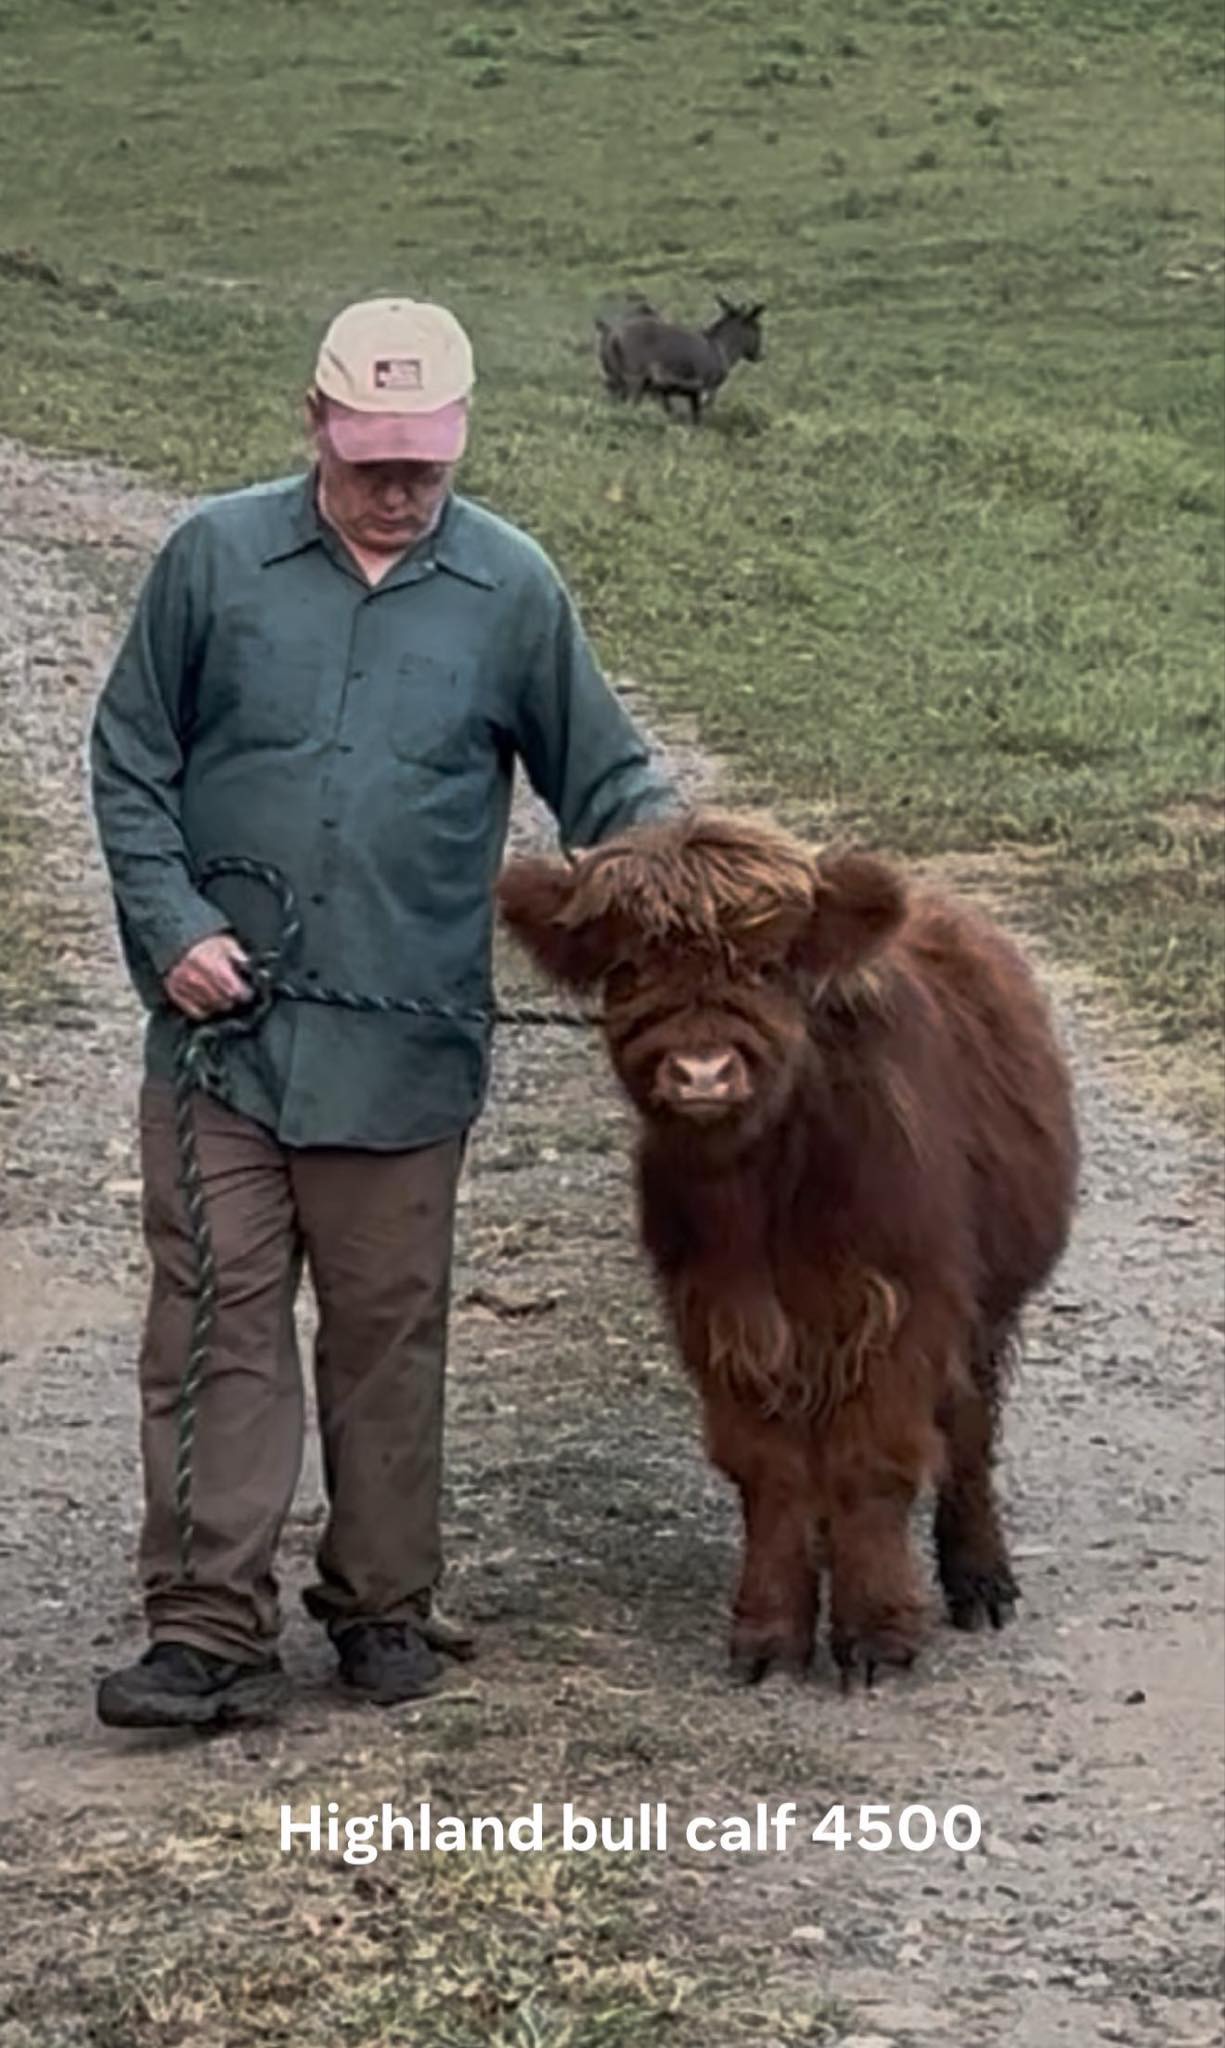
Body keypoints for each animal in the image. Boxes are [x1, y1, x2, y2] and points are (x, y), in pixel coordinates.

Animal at [497, 811, 1078, 1689]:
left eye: (768, 967)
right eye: (628, 965)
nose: (702, 1072)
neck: (766, 1193)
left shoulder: (902, 1304)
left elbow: (873, 1459)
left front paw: (876, 1633)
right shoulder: (721, 1315)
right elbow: (768, 1471)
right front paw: (771, 1631)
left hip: (988, 1306)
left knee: (968, 1433)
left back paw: (979, 1580)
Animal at [594, 297, 766, 422]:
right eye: (757, 327)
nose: (759, 356)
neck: (719, 348)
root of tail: (612, 335)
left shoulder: (687, 393)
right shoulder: (707, 388)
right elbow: (699, 420)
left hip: (615, 380)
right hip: (635, 380)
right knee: (630, 408)